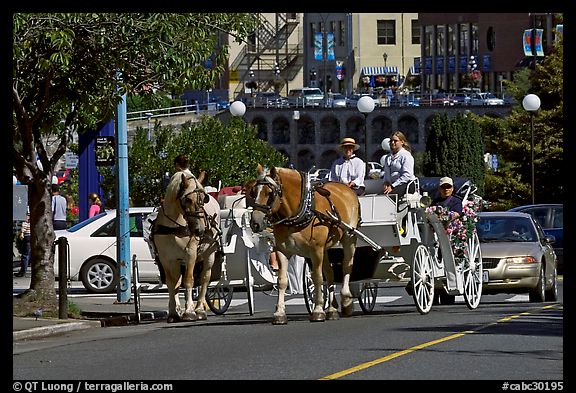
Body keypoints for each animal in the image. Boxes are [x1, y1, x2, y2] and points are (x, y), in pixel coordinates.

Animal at [152, 171, 222, 322]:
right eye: (188, 199)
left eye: (204, 199)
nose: (200, 230)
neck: (174, 227)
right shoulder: (166, 258)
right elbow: (172, 283)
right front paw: (174, 312)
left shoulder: (190, 254)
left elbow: (189, 281)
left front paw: (189, 311)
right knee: (178, 281)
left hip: (209, 254)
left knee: (204, 279)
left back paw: (200, 309)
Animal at [246, 164, 360, 324]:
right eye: (253, 192)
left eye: (270, 193)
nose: (255, 223)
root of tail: (345, 188)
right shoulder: (282, 250)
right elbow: (282, 280)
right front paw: (279, 313)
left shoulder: (316, 250)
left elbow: (317, 278)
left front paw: (318, 310)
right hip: (325, 249)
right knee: (330, 273)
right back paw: (332, 309)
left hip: (349, 238)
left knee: (346, 267)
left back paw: (346, 302)